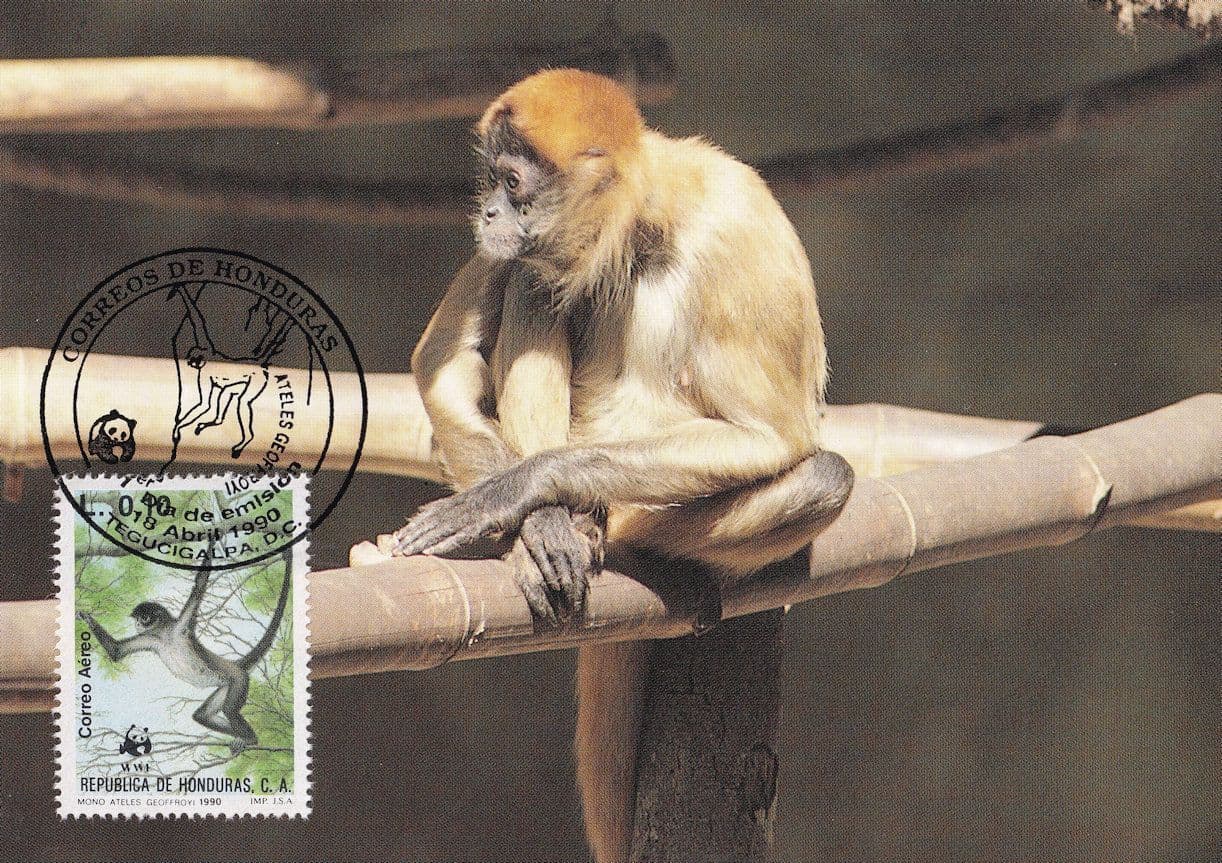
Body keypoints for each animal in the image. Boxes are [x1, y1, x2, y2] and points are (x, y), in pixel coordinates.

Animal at [77, 549, 291, 749]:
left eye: (144, 617)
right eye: (137, 619)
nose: (137, 624)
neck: (166, 636)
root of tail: (235, 664)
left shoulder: (181, 625)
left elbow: (200, 584)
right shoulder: (152, 639)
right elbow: (117, 651)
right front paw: (85, 616)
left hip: (238, 679)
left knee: (229, 710)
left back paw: (250, 739)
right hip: (226, 685)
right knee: (203, 716)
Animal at [376, 70, 854, 863]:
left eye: (512, 182)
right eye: (492, 180)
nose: (488, 210)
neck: (643, 229)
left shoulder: (737, 223)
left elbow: (776, 437)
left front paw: (516, 492)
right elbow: (441, 364)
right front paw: (528, 519)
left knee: (825, 477)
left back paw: (618, 545)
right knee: (530, 279)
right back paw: (556, 534)